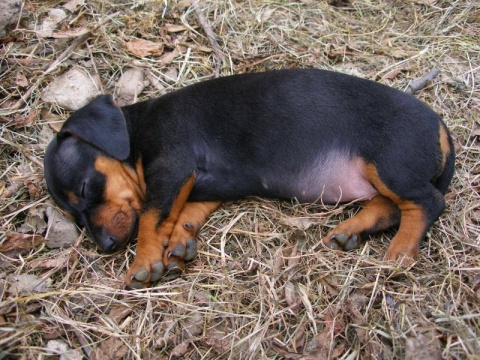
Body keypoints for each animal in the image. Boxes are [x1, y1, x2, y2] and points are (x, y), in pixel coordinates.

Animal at [44, 69, 454, 288]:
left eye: (85, 188)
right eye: (73, 217)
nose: (107, 246)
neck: (137, 132)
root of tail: (439, 124)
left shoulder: (171, 168)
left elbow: (150, 217)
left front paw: (142, 264)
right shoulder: (201, 186)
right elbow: (185, 214)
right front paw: (179, 244)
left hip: (389, 165)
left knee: (427, 202)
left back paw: (400, 252)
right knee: (390, 206)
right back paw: (352, 230)